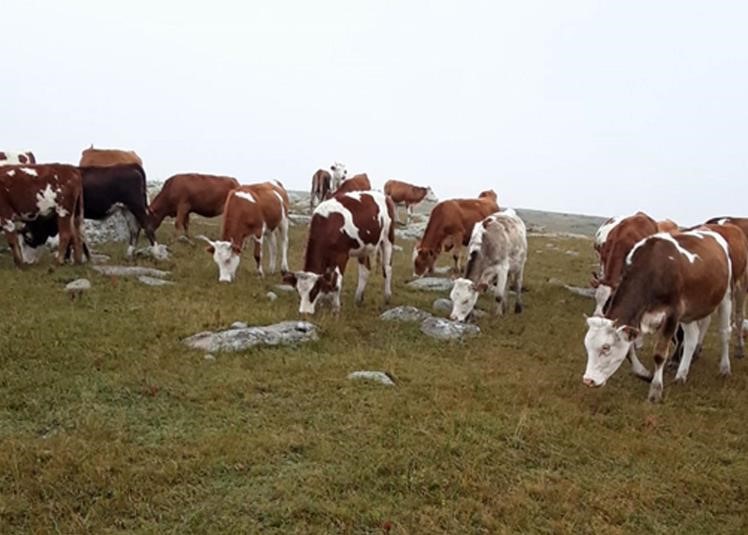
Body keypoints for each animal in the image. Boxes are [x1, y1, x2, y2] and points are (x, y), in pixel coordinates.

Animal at [20, 165, 162, 262]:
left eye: (28, 237)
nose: (26, 261)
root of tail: (130, 166)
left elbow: (70, 234)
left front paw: (69, 258)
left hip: (136, 206)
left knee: (147, 226)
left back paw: (156, 253)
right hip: (126, 209)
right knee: (134, 229)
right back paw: (129, 254)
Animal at [580, 230, 732, 402]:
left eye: (606, 347)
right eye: (587, 346)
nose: (588, 380)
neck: (653, 270)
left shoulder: (672, 315)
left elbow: (659, 354)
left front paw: (656, 389)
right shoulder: (637, 319)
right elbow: (629, 350)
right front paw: (644, 373)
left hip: (726, 296)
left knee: (724, 333)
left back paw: (725, 368)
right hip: (688, 314)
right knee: (692, 338)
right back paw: (681, 374)